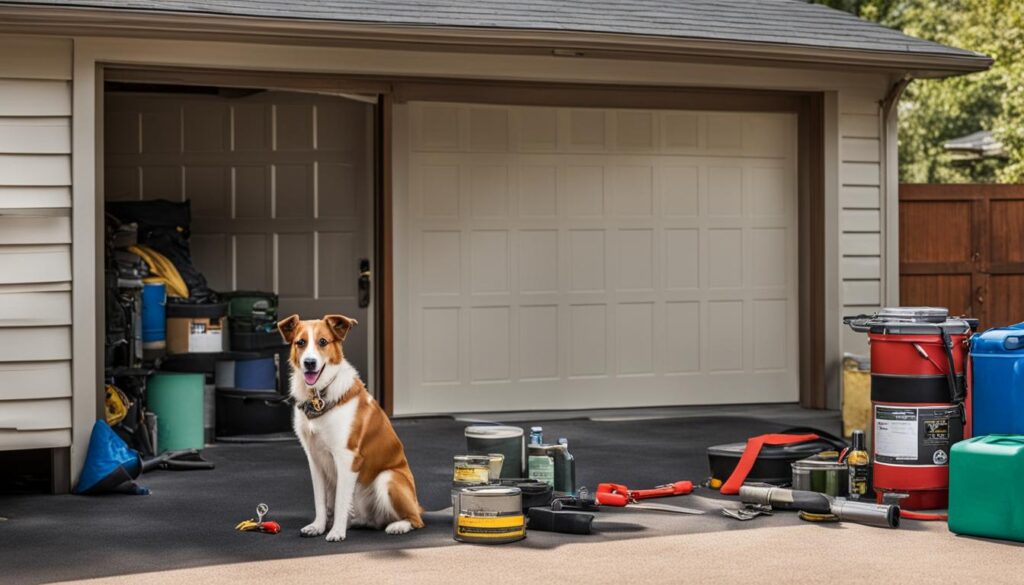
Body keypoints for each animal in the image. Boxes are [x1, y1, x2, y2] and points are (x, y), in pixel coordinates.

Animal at [276, 313, 423, 540]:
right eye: (300, 343)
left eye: (323, 342)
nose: (309, 363)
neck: (319, 396)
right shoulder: (314, 459)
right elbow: (320, 500)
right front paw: (318, 526)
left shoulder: (346, 457)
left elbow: (339, 501)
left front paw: (336, 531)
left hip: (388, 478)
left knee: (416, 519)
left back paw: (398, 526)